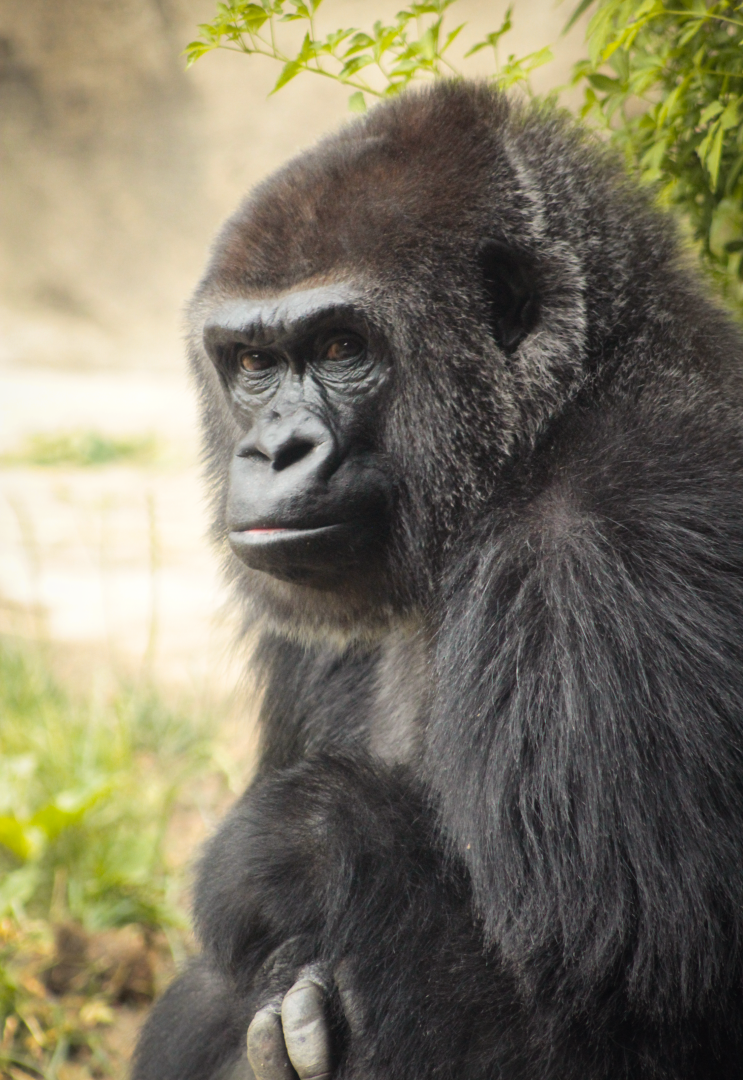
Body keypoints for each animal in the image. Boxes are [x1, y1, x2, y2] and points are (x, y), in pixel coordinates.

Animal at [133, 81, 743, 1079]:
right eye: (253, 364)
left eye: (340, 347)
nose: (272, 451)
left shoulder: (604, 551)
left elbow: (615, 1030)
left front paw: (297, 843)